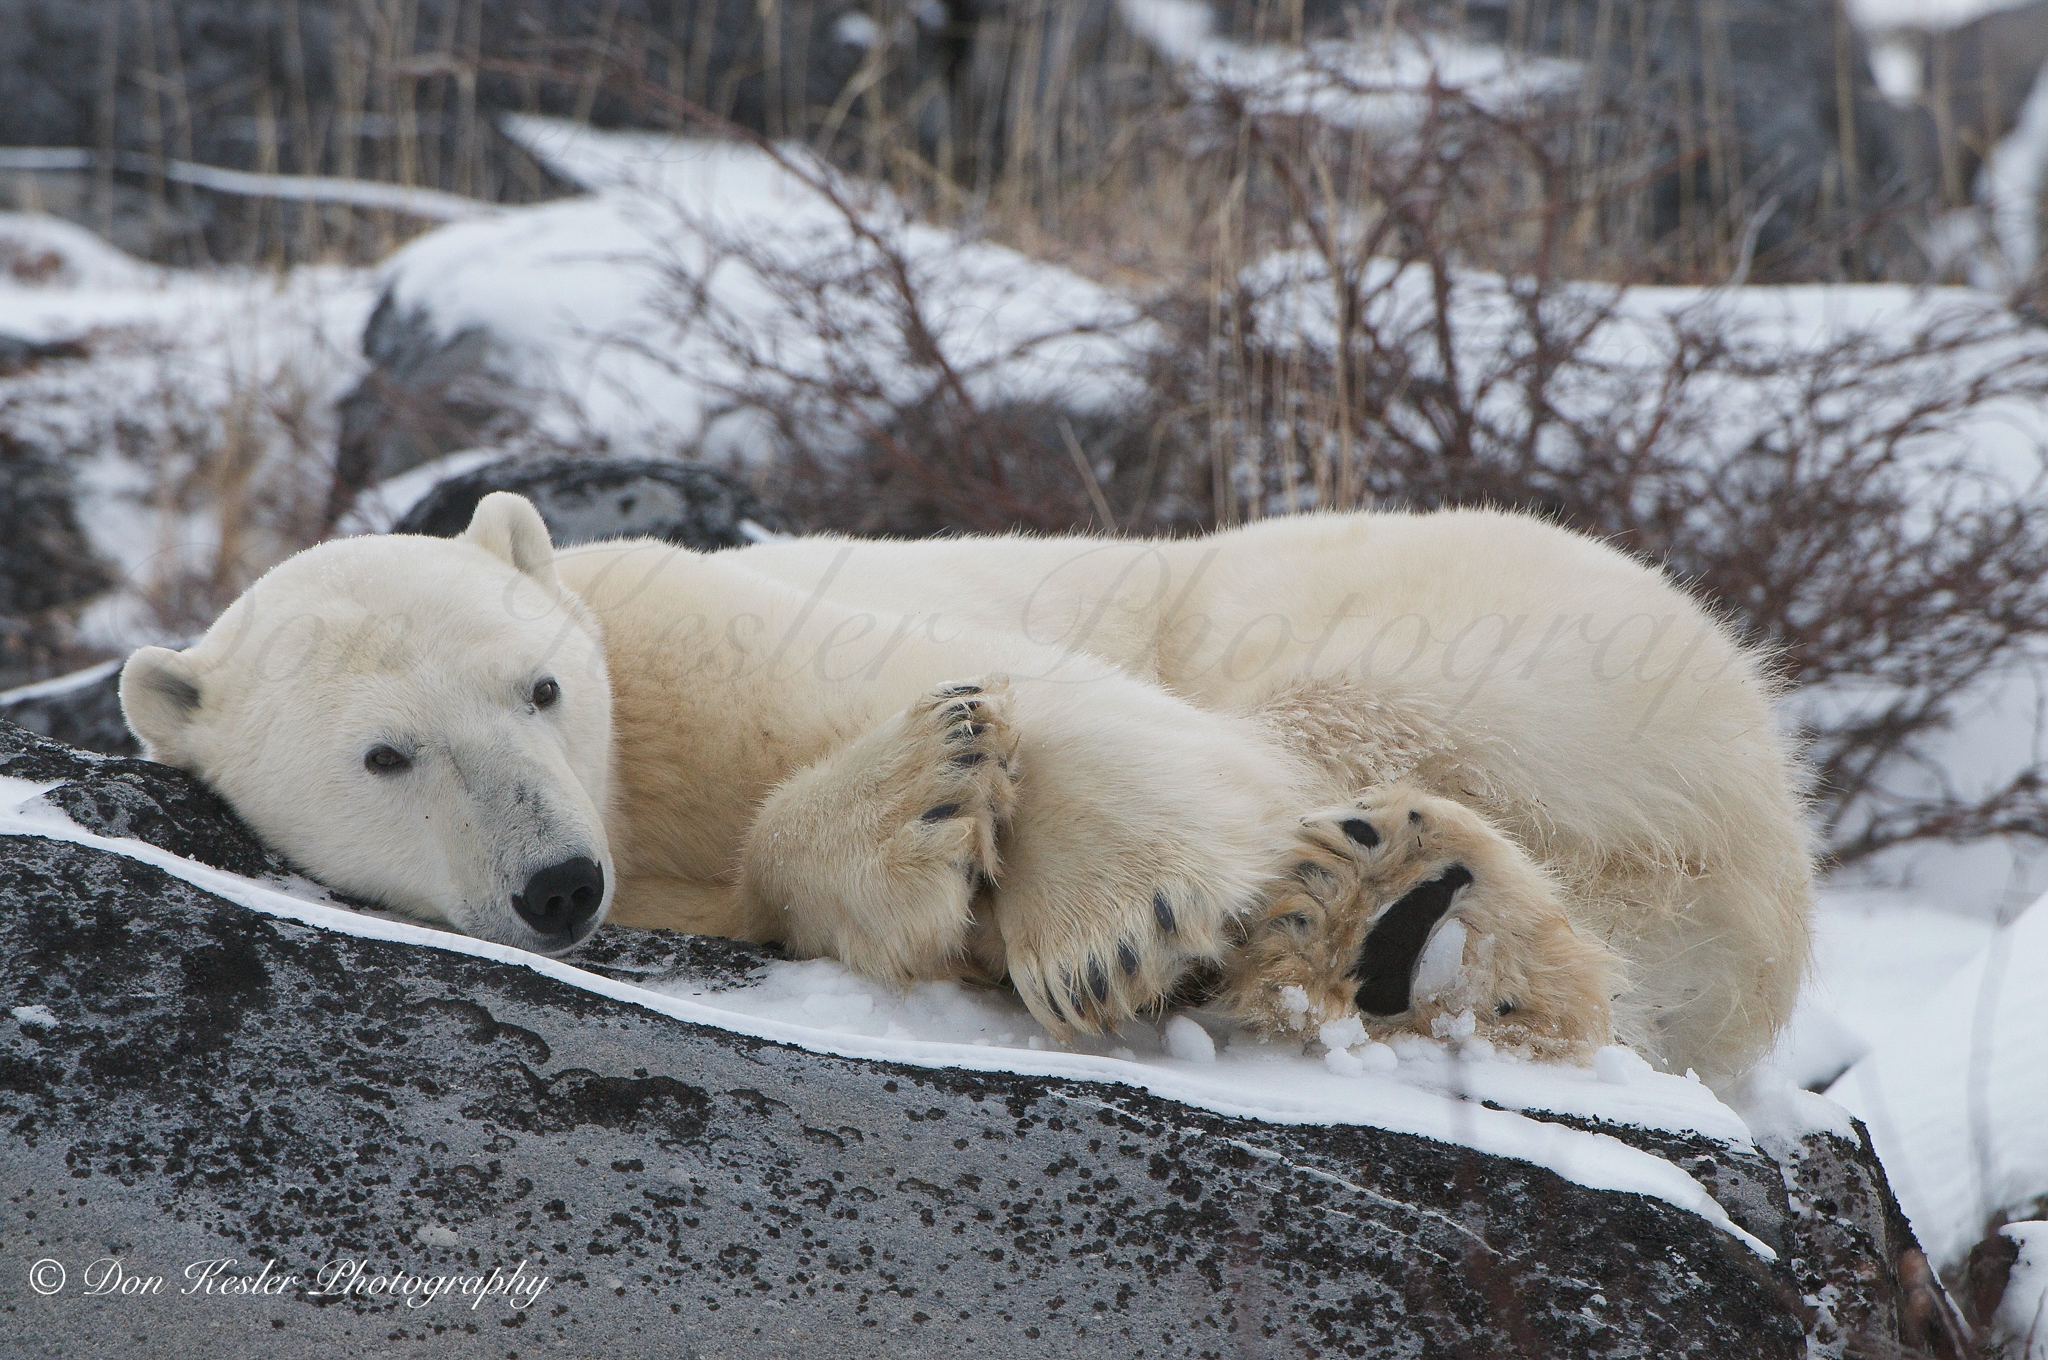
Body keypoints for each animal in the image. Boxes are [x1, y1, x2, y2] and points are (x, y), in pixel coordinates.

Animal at [119, 493, 1810, 1081]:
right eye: (387, 756)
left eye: (538, 687)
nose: (557, 882)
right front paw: (920, 826)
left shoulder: (701, 631)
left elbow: (1033, 689)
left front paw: (1107, 916)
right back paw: (1427, 946)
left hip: (1496, 630)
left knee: (1304, 705)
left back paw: (1374, 907)